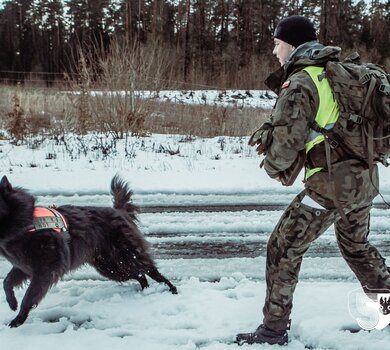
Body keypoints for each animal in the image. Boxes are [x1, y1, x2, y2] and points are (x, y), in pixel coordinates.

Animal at [0, 176, 177, 326]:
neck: (24, 226)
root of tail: (119, 211)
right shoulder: (24, 267)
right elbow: (7, 282)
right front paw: (12, 303)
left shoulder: (45, 271)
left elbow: (29, 297)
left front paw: (18, 319)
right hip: (112, 267)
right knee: (140, 274)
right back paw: (145, 290)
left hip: (125, 256)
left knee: (150, 269)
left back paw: (170, 288)